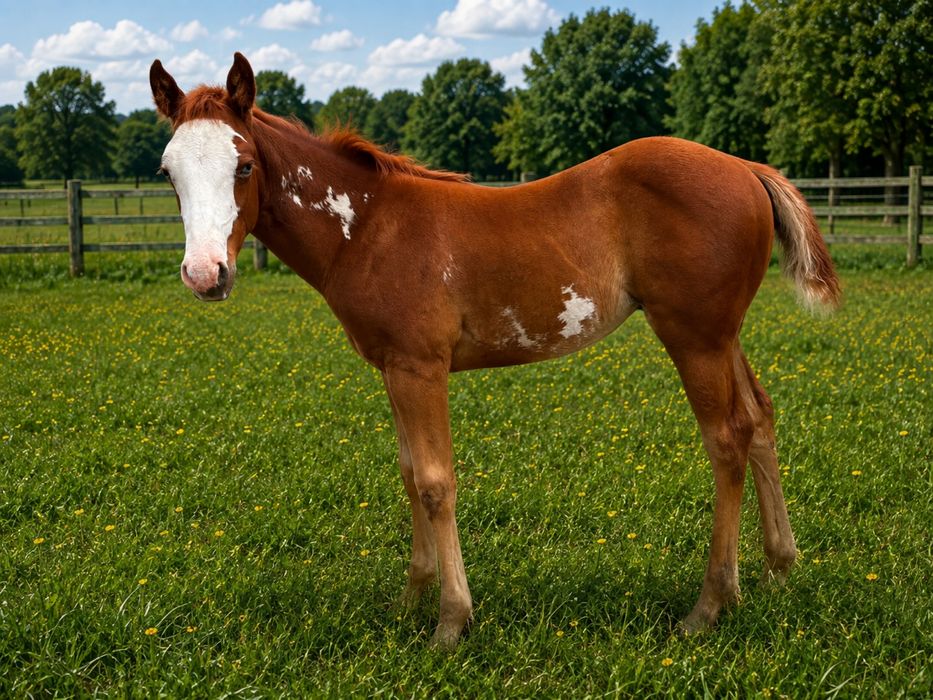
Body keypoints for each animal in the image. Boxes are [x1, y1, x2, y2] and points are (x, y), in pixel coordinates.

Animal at [150, 53, 840, 649]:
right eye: (167, 172)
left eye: (243, 165)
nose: (205, 274)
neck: (368, 227)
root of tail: (746, 168)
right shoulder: (393, 369)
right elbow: (409, 473)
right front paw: (411, 601)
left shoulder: (421, 369)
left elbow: (436, 482)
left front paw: (450, 623)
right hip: (723, 335)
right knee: (758, 419)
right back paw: (778, 571)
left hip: (694, 336)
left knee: (725, 440)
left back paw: (709, 605)